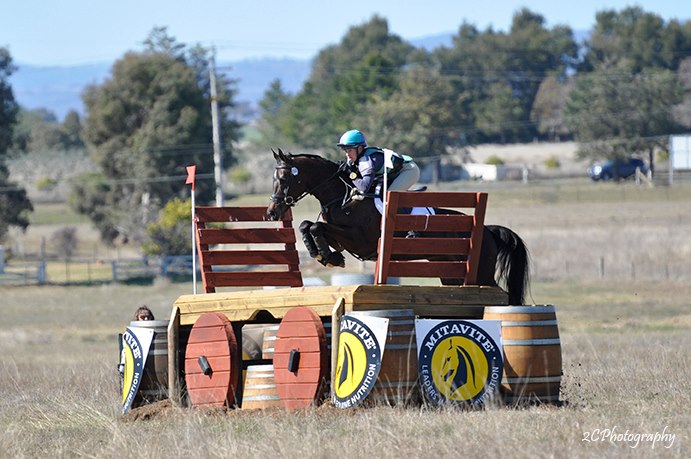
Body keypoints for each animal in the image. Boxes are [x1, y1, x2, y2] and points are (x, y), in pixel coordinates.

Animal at [264, 149, 528, 306]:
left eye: (285, 179)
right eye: (273, 179)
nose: (272, 213)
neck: (342, 196)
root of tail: (488, 230)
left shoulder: (358, 240)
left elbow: (316, 227)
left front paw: (330, 258)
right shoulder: (339, 237)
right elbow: (308, 225)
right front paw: (324, 255)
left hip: (481, 273)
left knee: (502, 296)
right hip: (452, 276)